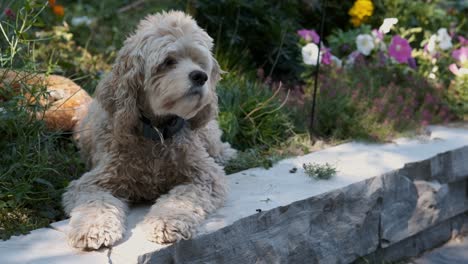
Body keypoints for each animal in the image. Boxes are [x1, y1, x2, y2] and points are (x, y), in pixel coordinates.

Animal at [63, 10, 236, 250]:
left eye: (200, 62)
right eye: (168, 61)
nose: (201, 76)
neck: (157, 133)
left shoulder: (206, 176)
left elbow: (180, 199)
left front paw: (166, 222)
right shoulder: (93, 182)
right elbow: (95, 204)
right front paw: (93, 228)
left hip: (208, 137)